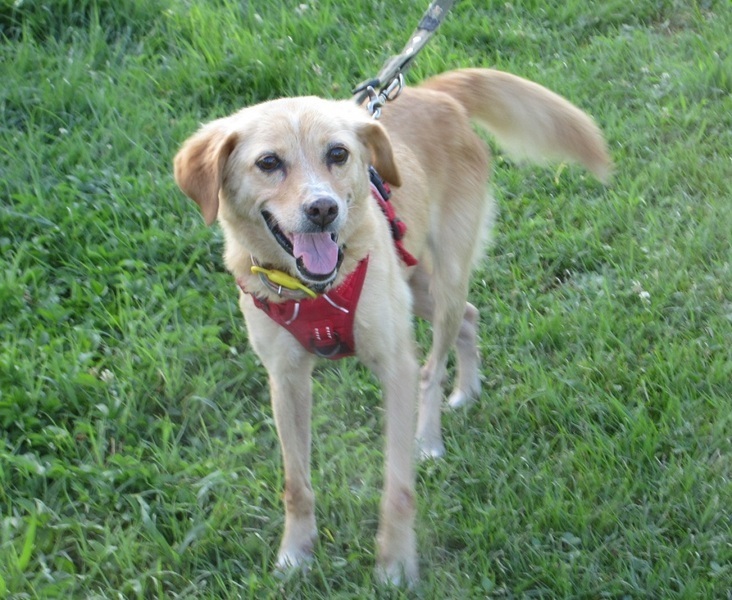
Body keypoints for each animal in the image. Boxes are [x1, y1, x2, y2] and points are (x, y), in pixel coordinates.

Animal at [173, 68, 610, 584]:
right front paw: (296, 553)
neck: (318, 289)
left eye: (337, 154)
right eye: (268, 162)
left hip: (444, 280)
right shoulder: (286, 380)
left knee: (433, 366)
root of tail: (434, 93)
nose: (323, 209)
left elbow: (398, 487)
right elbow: (295, 483)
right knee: (470, 317)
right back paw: (467, 390)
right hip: (417, 283)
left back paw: (430, 437)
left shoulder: (394, 366)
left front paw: (396, 563)